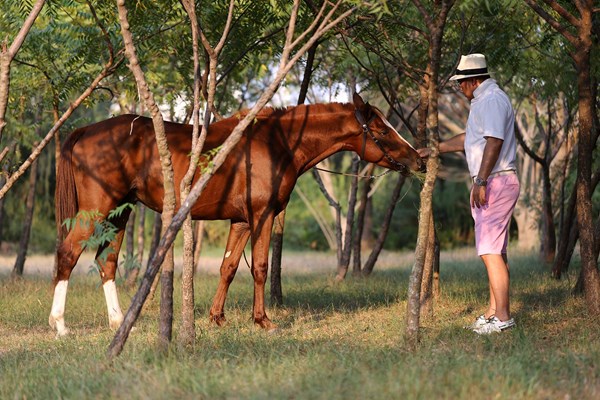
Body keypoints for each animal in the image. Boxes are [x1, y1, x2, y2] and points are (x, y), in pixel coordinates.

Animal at [49, 93, 422, 334]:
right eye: (383, 130)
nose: (419, 159)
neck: (277, 142)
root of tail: (86, 131)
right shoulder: (262, 215)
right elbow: (259, 267)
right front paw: (263, 321)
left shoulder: (241, 221)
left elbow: (228, 268)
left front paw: (218, 318)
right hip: (96, 211)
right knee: (68, 253)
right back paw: (60, 325)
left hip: (119, 215)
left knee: (106, 262)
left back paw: (118, 322)